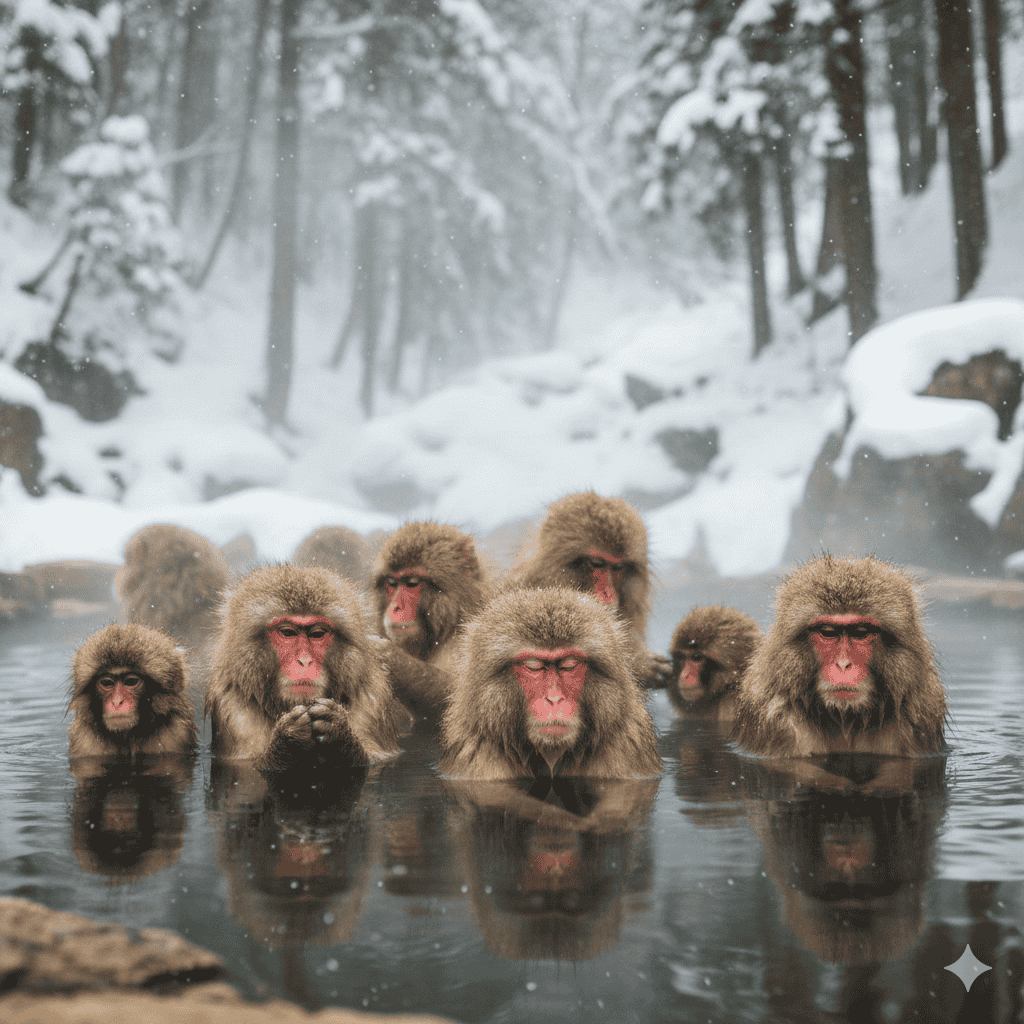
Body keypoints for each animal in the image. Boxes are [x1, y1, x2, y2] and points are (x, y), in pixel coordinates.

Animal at [68, 623, 198, 758]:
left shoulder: (176, 734)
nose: (117, 701)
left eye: (131, 682)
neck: (128, 736)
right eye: (107, 683)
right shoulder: (85, 741)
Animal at [204, 564, 404, 773]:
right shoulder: (233, 709)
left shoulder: (372, 701)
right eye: (287, 632)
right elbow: (245, 764)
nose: (304, 661)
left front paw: (338, 729)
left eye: (317, 634)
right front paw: (290, 736)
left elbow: (376, 758)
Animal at [732, 555, 947, 758]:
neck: (846, 719)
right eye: (827, 632)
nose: (843, 664)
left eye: (860, 632)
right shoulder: (777, 721)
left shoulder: (918, 715)